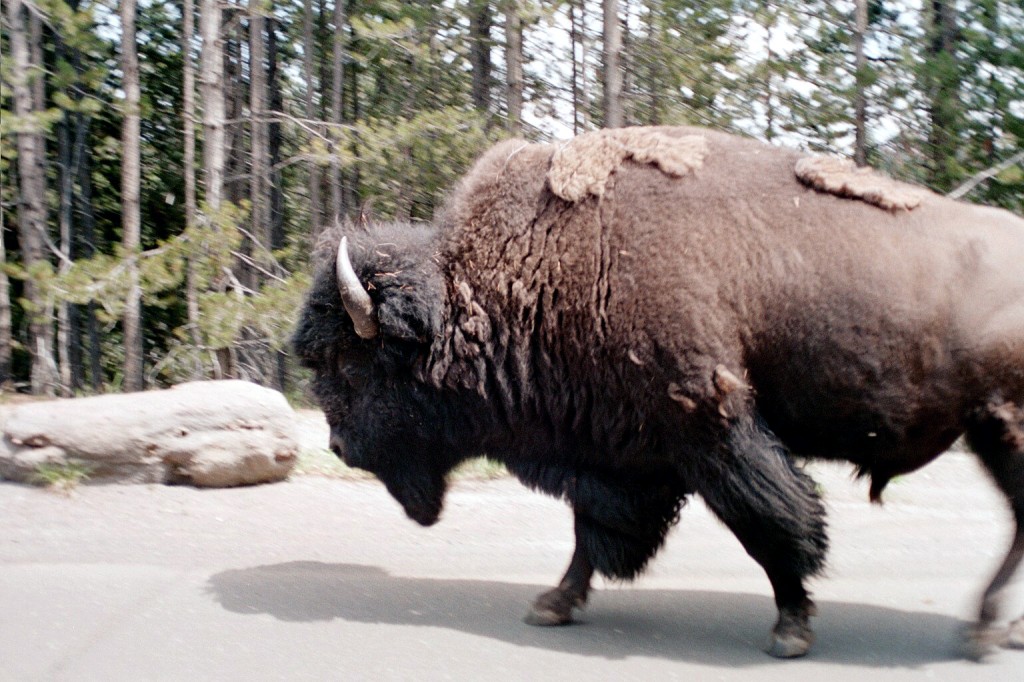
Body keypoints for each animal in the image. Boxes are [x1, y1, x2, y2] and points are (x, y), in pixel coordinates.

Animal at [292, 125, 1019, 655]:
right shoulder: (616, 452)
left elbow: (772, 522)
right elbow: (593, 534)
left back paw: (983, 630)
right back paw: (988, 628)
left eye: (350, 364)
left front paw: (790, 628)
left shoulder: (710, 430)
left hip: (1003, 432)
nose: (337, 445)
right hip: (992, 434)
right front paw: (552, 604)